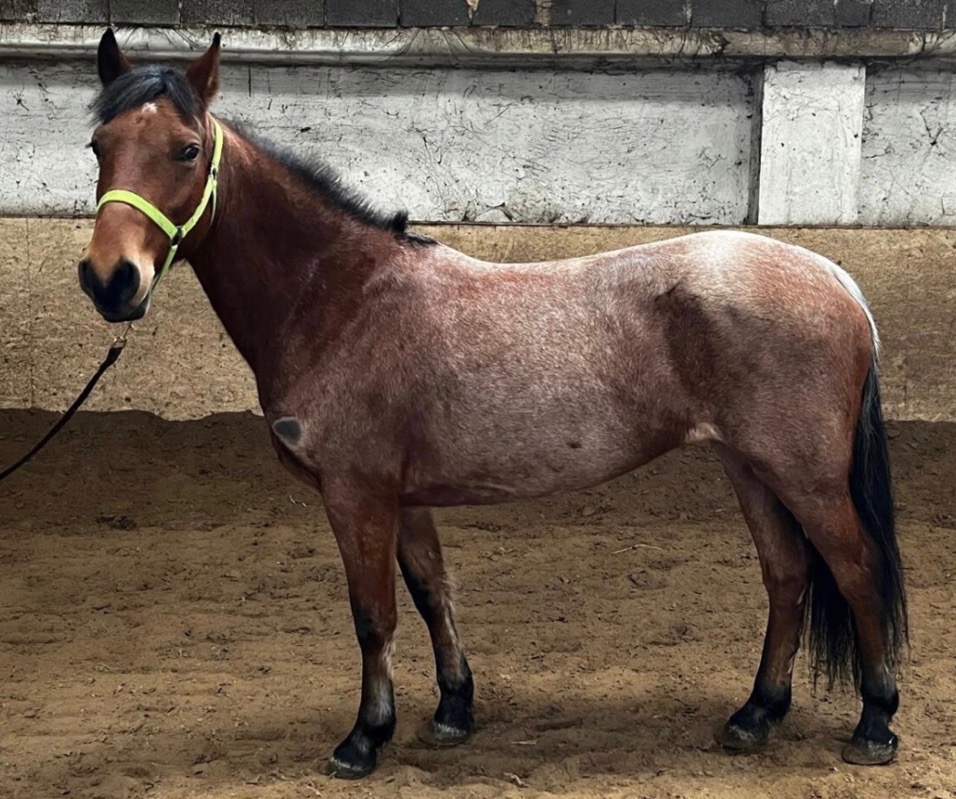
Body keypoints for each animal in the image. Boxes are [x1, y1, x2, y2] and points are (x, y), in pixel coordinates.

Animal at [76, 30, 907, 779]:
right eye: (97, 145)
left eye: (186, 149)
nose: (110, 280)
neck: (341, 296)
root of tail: (839, 280)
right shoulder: (403, 498)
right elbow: (431, 591)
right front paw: (451, 708)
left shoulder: (355, 495)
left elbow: (373, 615)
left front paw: (364, 738)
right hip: (749, 468)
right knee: (787, 576)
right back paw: (755, 713)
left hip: (804, 477)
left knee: (855, 568)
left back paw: (874, 723)